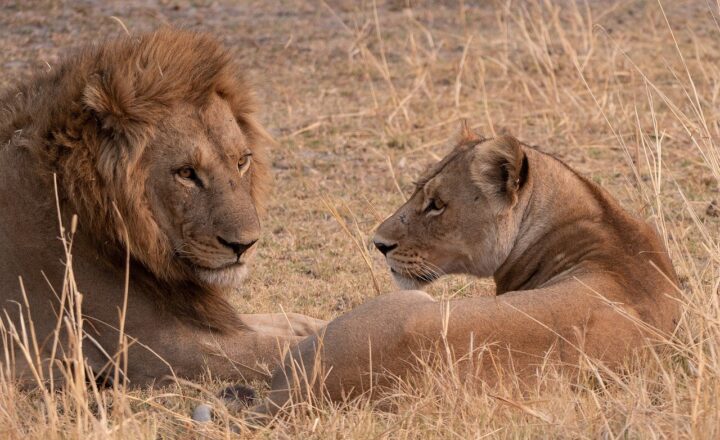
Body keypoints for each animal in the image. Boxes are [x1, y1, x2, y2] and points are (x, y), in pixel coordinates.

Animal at [0, 29, 325, 387]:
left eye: (242, 162)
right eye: (186, 173)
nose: (245, 245)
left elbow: (281, 321)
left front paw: (319, 322)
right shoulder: (160, 348)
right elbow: (281, 348)